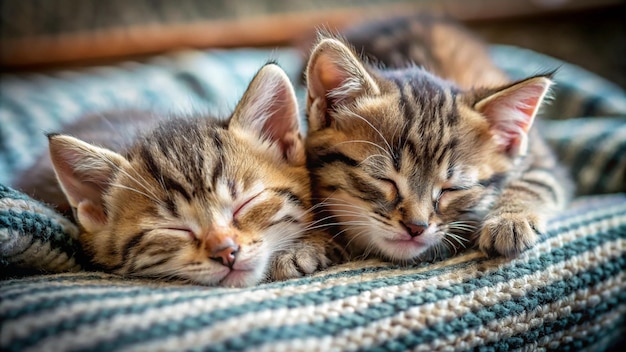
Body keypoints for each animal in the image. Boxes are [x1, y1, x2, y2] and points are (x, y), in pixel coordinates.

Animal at [302, 17, 572, 264]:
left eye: (452, 189)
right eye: (383, 179)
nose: (416, 227)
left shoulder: (538, 154)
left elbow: (539, 180)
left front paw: (510, 219)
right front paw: (310, 244)